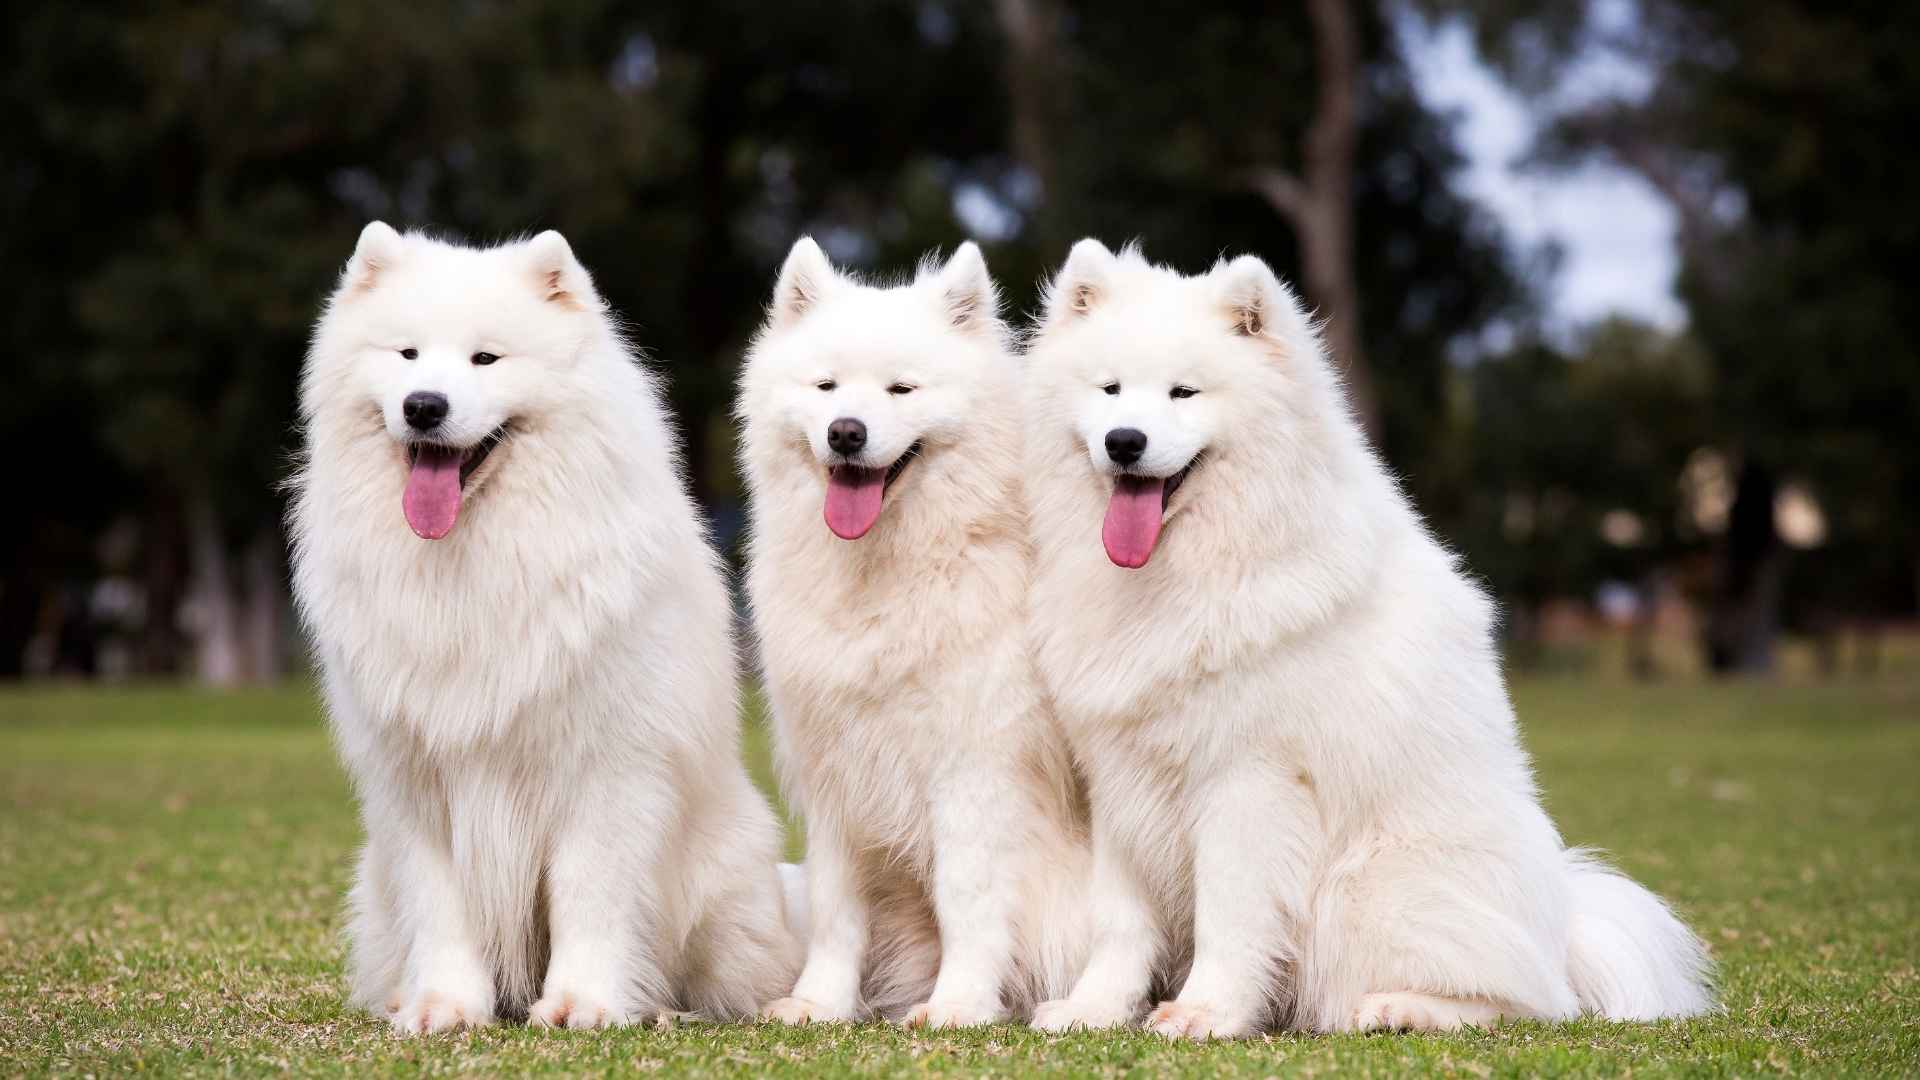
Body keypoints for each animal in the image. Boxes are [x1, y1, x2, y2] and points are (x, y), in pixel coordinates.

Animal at [286, 222, 794, 1030]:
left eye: (485, 359)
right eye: (406, 355)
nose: (423, 405)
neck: (474, 559)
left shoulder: (605, 770)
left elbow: (591, 896)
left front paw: (584, 1004)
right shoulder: (419, 780)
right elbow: (443, 906)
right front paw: (442, 1007)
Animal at [737, 237, 1098, 1022]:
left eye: (901, 391)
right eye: (826, 387)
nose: (846, 432)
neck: (887, 577)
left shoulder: (973, 770)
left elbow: (968, 901)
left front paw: (959, 1004)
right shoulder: (836, 772)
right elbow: (838, 910)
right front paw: (818, 1003)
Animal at [1021, 242, 1712, 1037]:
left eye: (1183, 393)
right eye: (1109, 390)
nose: (1124, 442)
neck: (1184, 571)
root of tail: (1564, 927)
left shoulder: (1246, 780)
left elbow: (1231, 917)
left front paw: (1204, 1014)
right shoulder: (1119, 778)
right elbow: (1120, 923)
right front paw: (1093, 1009)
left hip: (1372, 886)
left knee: (1527, 1000)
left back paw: (1398, 1007)